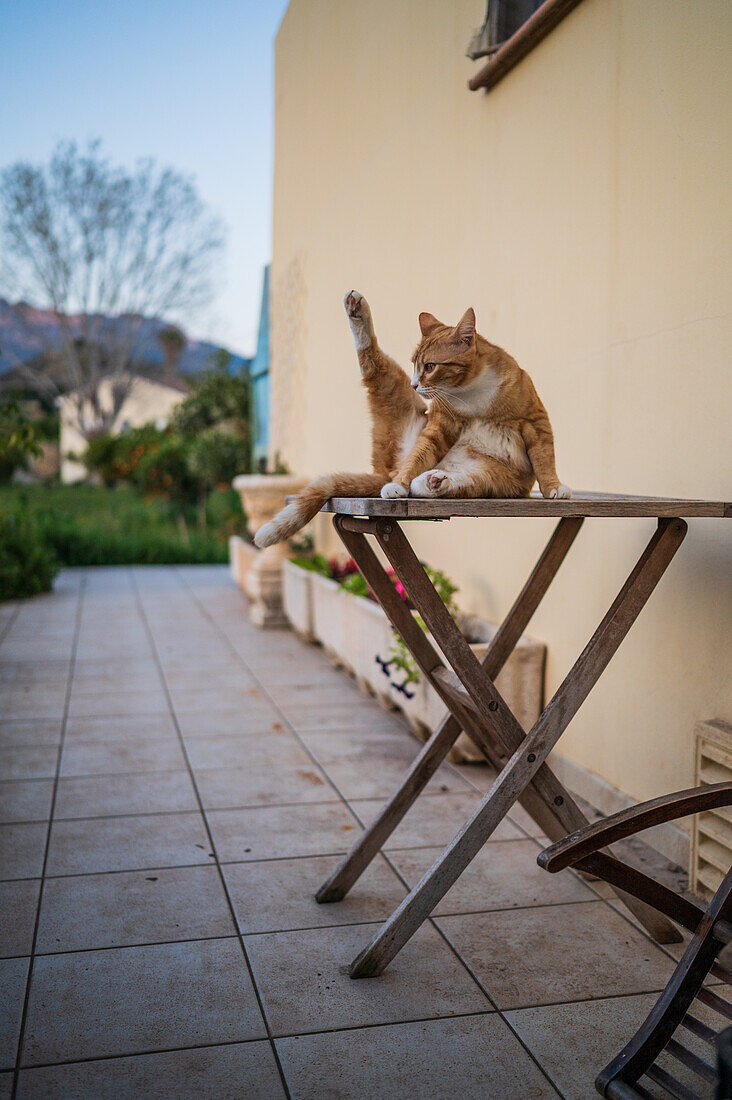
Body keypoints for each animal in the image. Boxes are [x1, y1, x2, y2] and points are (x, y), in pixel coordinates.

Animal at [254, 292, 567, 550]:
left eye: (430, 366)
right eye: (415, 365)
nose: (415, 385)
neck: (472, 392)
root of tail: (386, 471)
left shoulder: (536, 420)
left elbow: (545, 458)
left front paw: (553, 488)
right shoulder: (440, 426)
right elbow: (420, 454)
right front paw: (401, 485)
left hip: (490, 477)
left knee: (461, 483)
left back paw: (435, 481)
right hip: (393, 392)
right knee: (372, 362)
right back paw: (357, 310)